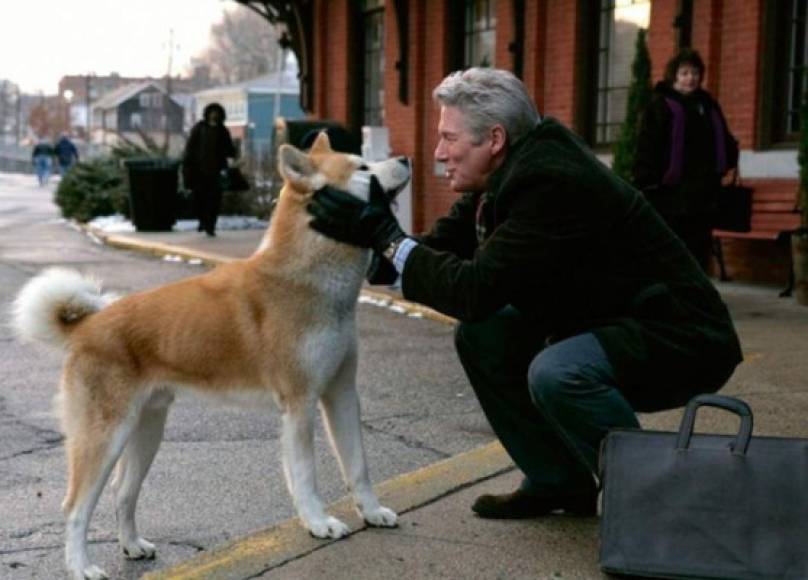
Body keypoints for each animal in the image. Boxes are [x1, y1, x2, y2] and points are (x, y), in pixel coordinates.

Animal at [9, 134, 408, 576]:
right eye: (362, 168)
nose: (407, 159)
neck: (307, 280)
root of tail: (86, 326)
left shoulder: (341, 394)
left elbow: (358, 466)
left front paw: (371, 512)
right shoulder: (300, 404)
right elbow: (306, 475)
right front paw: (319, 523)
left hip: (146, 431)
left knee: (123, 492)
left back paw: (132, 545)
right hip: (105, 437)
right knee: (76, 508)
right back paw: (82, 567)